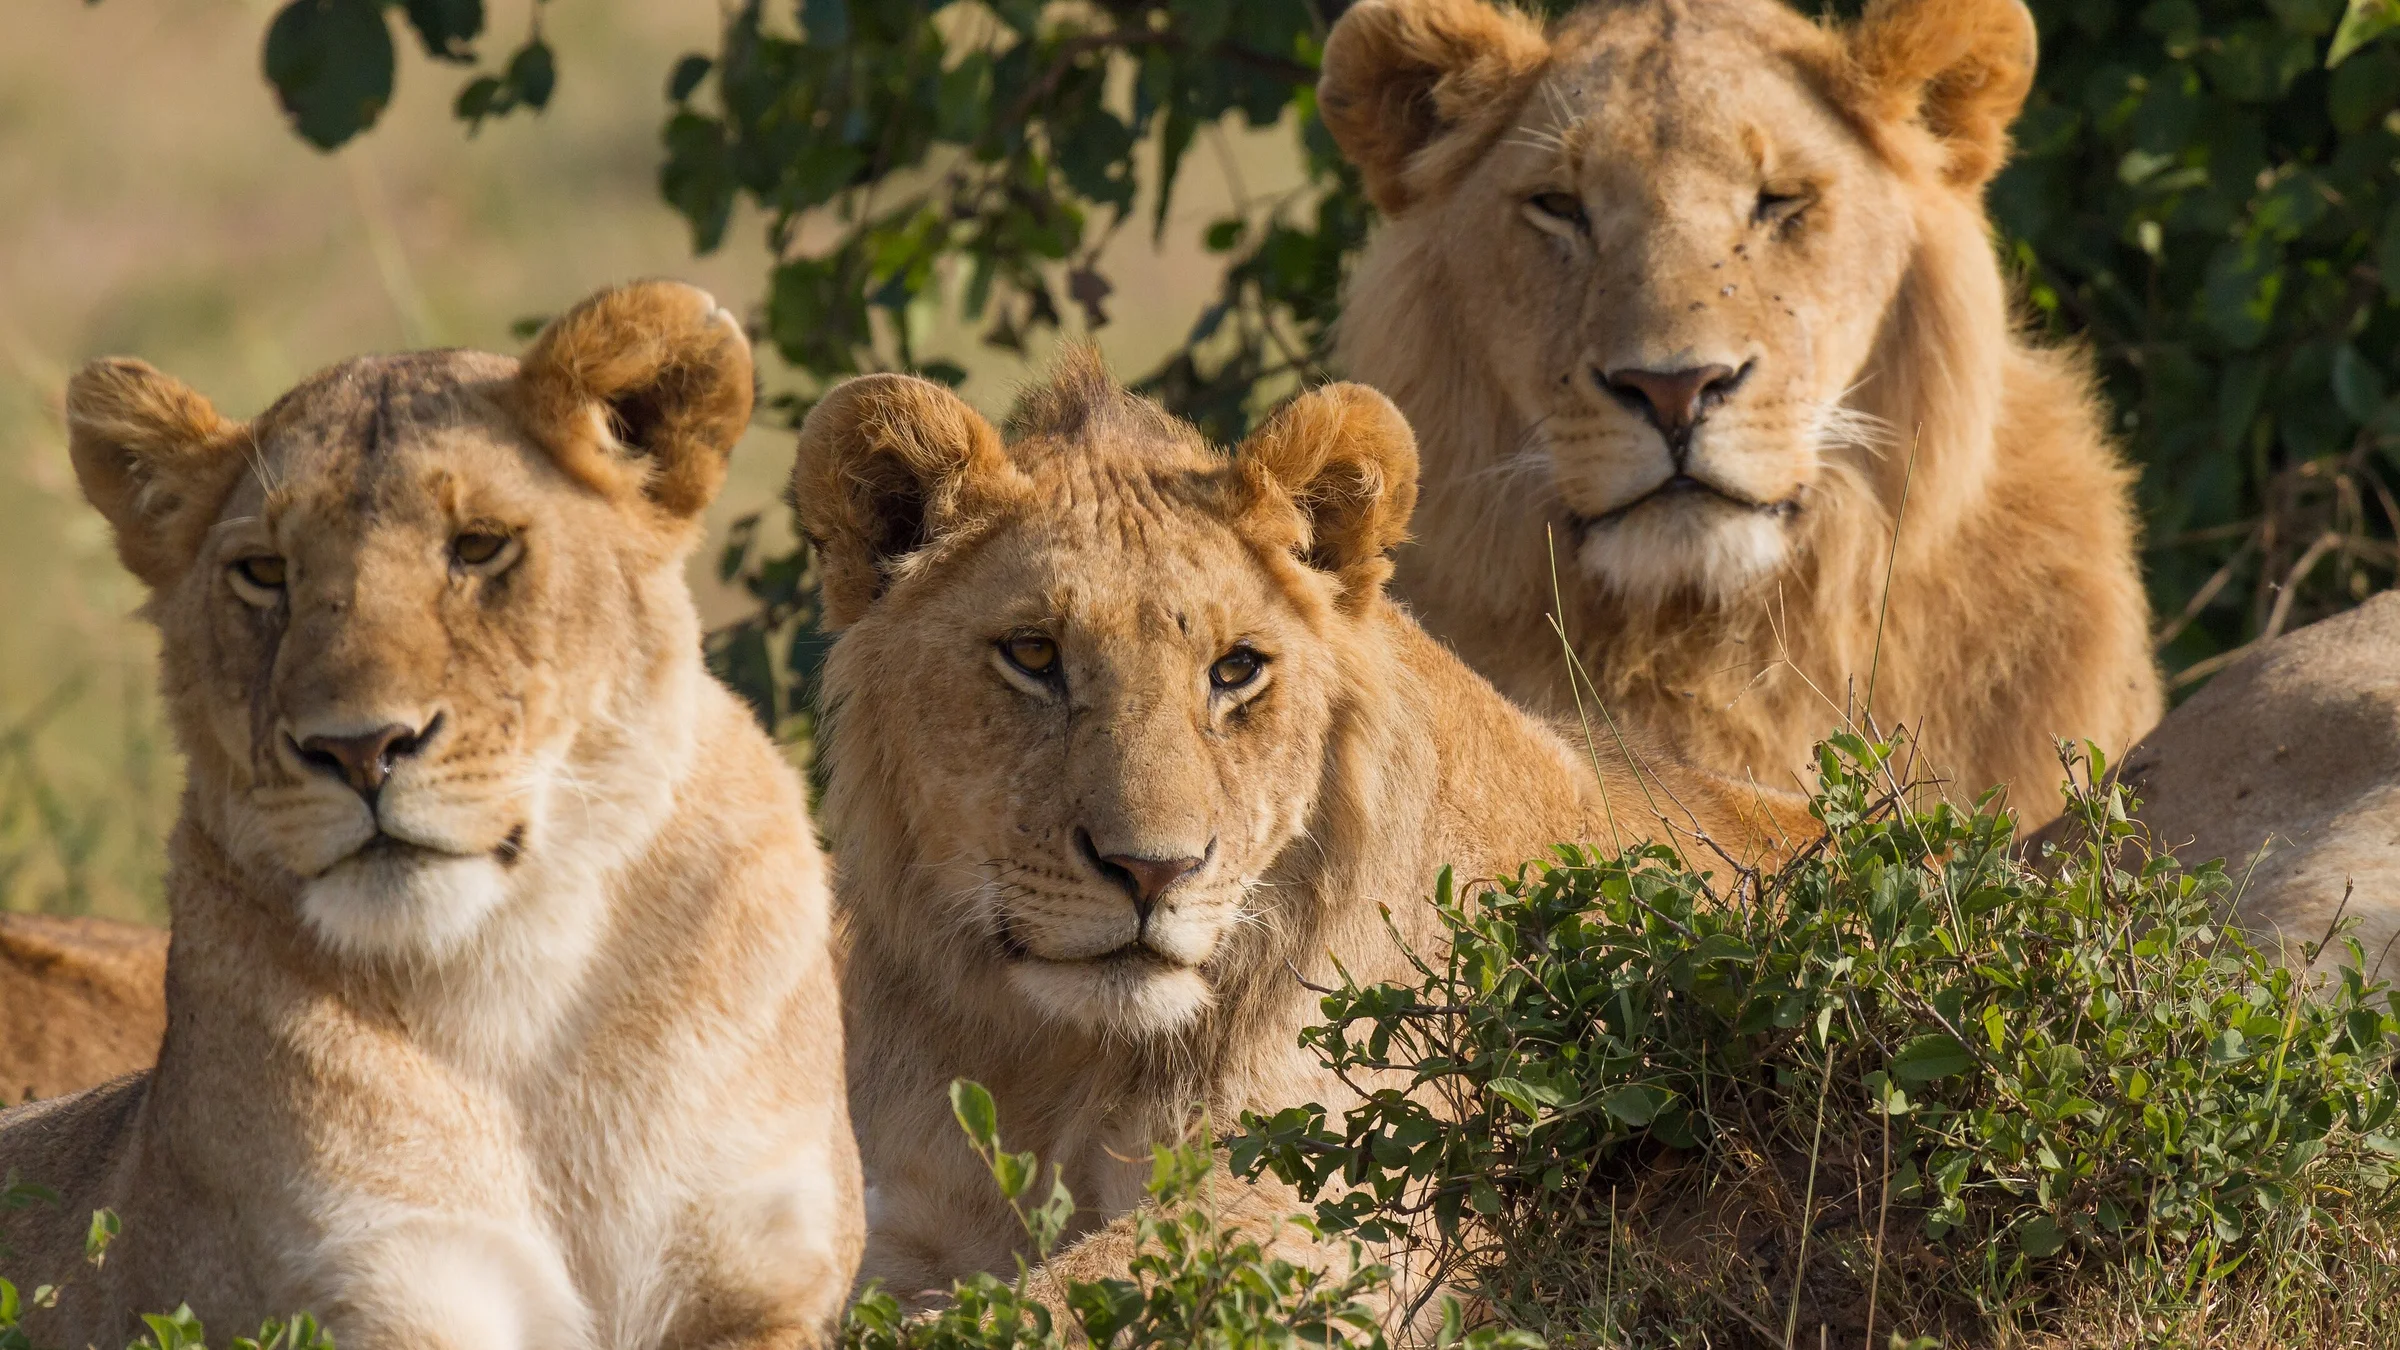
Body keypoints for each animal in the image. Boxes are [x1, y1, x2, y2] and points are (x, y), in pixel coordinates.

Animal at [790, 351, 1814, 1315]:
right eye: (1033, 655)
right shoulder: (899, 1214)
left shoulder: (1337, 1201)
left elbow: (1057, 1304)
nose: (1151, 872)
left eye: (1236, 668)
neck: (1059, 1063)